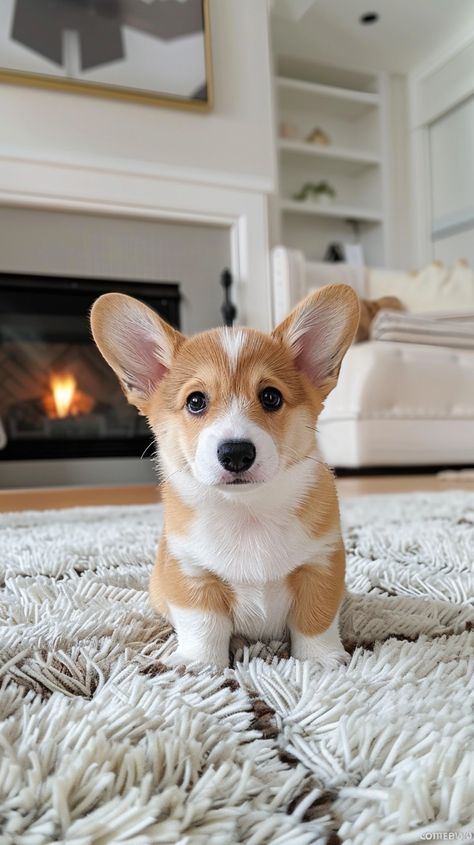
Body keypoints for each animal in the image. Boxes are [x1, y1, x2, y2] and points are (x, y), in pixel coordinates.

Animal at [90, 284, 360, 664]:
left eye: (271, 397)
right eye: (196, 401)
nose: (236, 453)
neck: (247, 510)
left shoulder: (320, 565)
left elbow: (315, 621)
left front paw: (320, 661)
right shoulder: (191, 572)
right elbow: (203, 625)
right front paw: (198, 664)